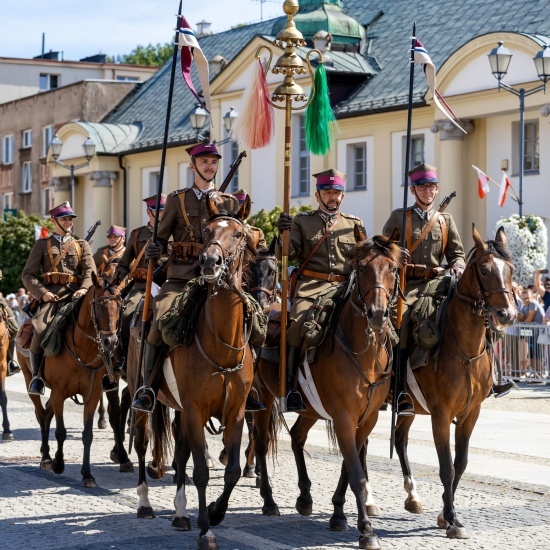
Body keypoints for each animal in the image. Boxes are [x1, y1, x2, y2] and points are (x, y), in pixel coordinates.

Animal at [18, 274, 133, 488]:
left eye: (120, 306)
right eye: (99, 306)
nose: (111, 342)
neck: (83, 348)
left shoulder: (93, 394)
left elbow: (87, 435)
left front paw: (87, 474)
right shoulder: (59, 392)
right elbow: (61, 431)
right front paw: (58, 463)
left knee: (47, 413)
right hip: (29, 378)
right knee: (41, 413)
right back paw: (46, 457)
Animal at [253, 230, 406, 550]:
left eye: (393, 269)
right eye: (361, 267)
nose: (377, 314)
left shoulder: (367, 419)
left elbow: (350, 466)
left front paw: (338, 514)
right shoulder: (344, 417)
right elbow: (357, 473)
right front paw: (366, 530)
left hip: (310, 408)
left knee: (296, 436)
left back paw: (304, 497)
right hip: (263, 397)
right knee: (260, 443)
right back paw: (269, 500)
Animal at [394, 226, 520, 540]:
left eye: (511, 270)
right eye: (485, 270)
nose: (508, 315)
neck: (464, 349)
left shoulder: (471, 414)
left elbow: (460, 464)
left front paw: (444, 512)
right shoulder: (440, 415)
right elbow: (445, 466)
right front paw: (451, 519)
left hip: (408, 407)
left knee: (399, 440)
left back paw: (412, 496)